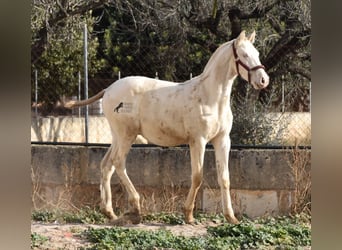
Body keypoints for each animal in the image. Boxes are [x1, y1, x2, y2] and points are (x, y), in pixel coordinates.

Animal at [65, 29, 268, 225]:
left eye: (257, 54)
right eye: (244, 55)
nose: (263, 80)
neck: (211, 97)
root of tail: (108, 89)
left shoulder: (222, 140)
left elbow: (224, 177)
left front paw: (231, 217)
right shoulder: (198, 141)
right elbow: (197, 177)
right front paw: (188, 215)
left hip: (118, 136)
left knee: (107, 165)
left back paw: (109, 213)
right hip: (127, 135)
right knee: (118, 163)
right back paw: (135, 209)